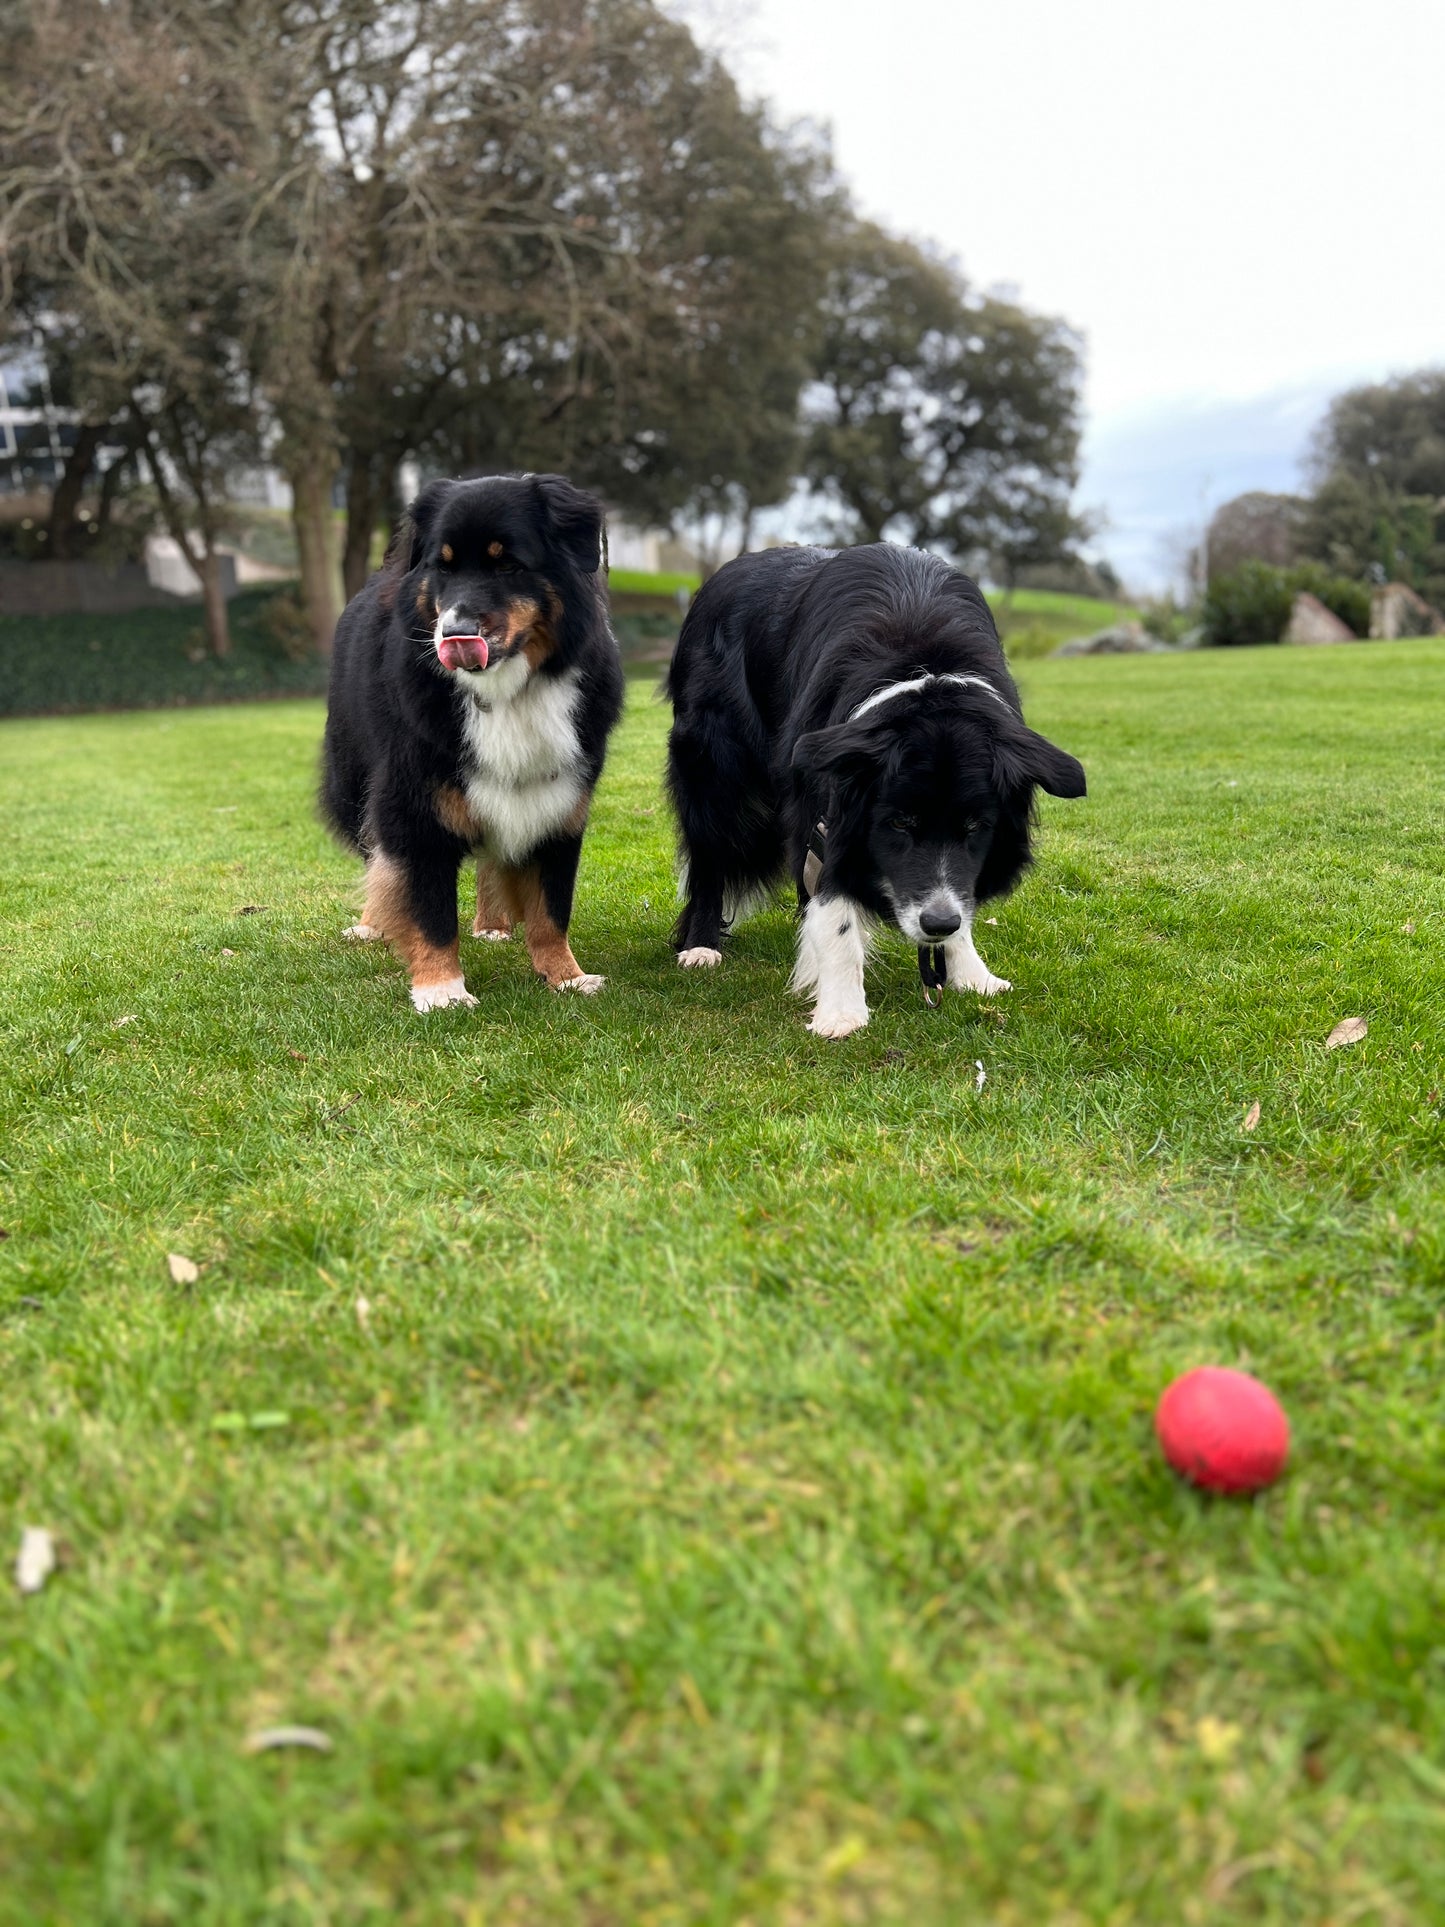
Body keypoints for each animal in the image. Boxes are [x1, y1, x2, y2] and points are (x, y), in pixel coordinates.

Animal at [321, 472, 624, 1009]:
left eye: (507, 564)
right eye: (442, 567)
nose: (454, 632)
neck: (504, 691)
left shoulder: (562, 802)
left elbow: (551, 907)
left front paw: (566, 976)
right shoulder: (413, 802)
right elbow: (428, 905)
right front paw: (442, 990)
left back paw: (492, 924)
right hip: (351, 782)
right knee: (375, 852)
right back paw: (370, 925)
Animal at [666, 551, 1086, 1040]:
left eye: (976, 826)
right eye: (900, 822)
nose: (937, 924)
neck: (927, 671)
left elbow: (960, 891)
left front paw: (971, 973)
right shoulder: (823, 803)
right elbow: (834, 901)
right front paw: (840, 1011)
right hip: (711, 763)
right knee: (711, 853)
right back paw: (701, 945)